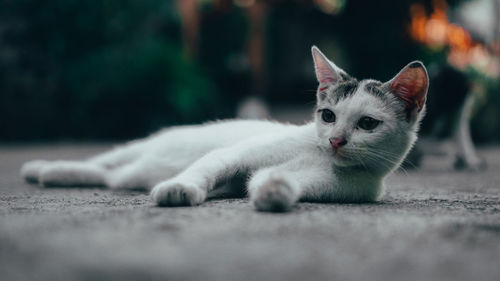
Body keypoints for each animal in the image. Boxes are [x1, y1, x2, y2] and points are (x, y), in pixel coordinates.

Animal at [21, 46, 428, 211]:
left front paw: (274, 193)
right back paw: (40, 167)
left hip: (128, 174)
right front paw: (179, 189)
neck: (317, 156)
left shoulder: (337, 186)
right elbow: (209, 166)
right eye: (327, 115)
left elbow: (269, 180)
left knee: (109, 176)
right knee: (104, 160)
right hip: (145, 145)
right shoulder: (234, 154)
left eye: (367, 124)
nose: (335, 140)